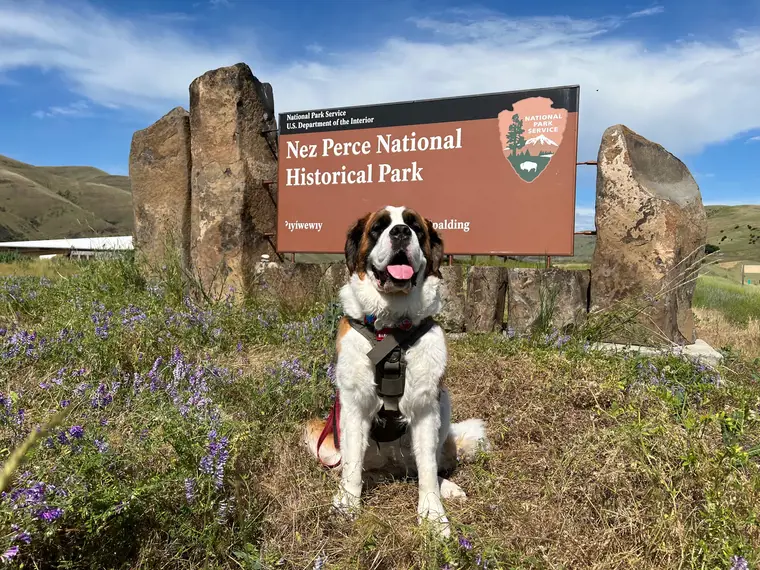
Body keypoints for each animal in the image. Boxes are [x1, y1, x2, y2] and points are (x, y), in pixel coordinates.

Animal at [304, 205, 490, 536]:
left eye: (415, 227)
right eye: (378, 227)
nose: (401, 232)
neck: (390, 325)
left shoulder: (426, 405)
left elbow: (427, 469)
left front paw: (432, 516)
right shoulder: (353, 404)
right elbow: (352, 465)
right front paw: (347, 503)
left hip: (443, 403)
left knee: (423, 464)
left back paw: (446, 487)